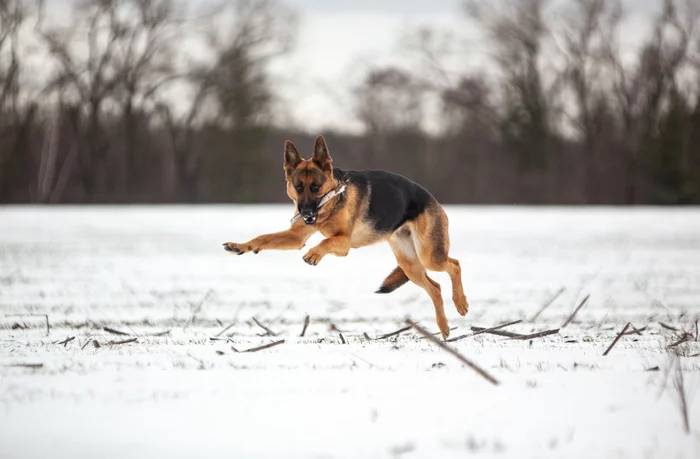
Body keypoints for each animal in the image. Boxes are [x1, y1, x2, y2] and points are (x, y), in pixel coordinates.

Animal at [221, 137, 468, 338]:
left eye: (316, 187)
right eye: (298, 187)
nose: (306, 214)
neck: (331, 201)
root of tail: (433, 199)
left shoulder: (343, 243)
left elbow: (325, 241)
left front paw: (314, 254)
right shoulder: (295, 237)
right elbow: (263, 238)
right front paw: (240, 246)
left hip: (429, 256)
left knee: (455, 265)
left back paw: (461, 303)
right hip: (410, 264)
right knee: (435, 288)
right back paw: (444, 327)